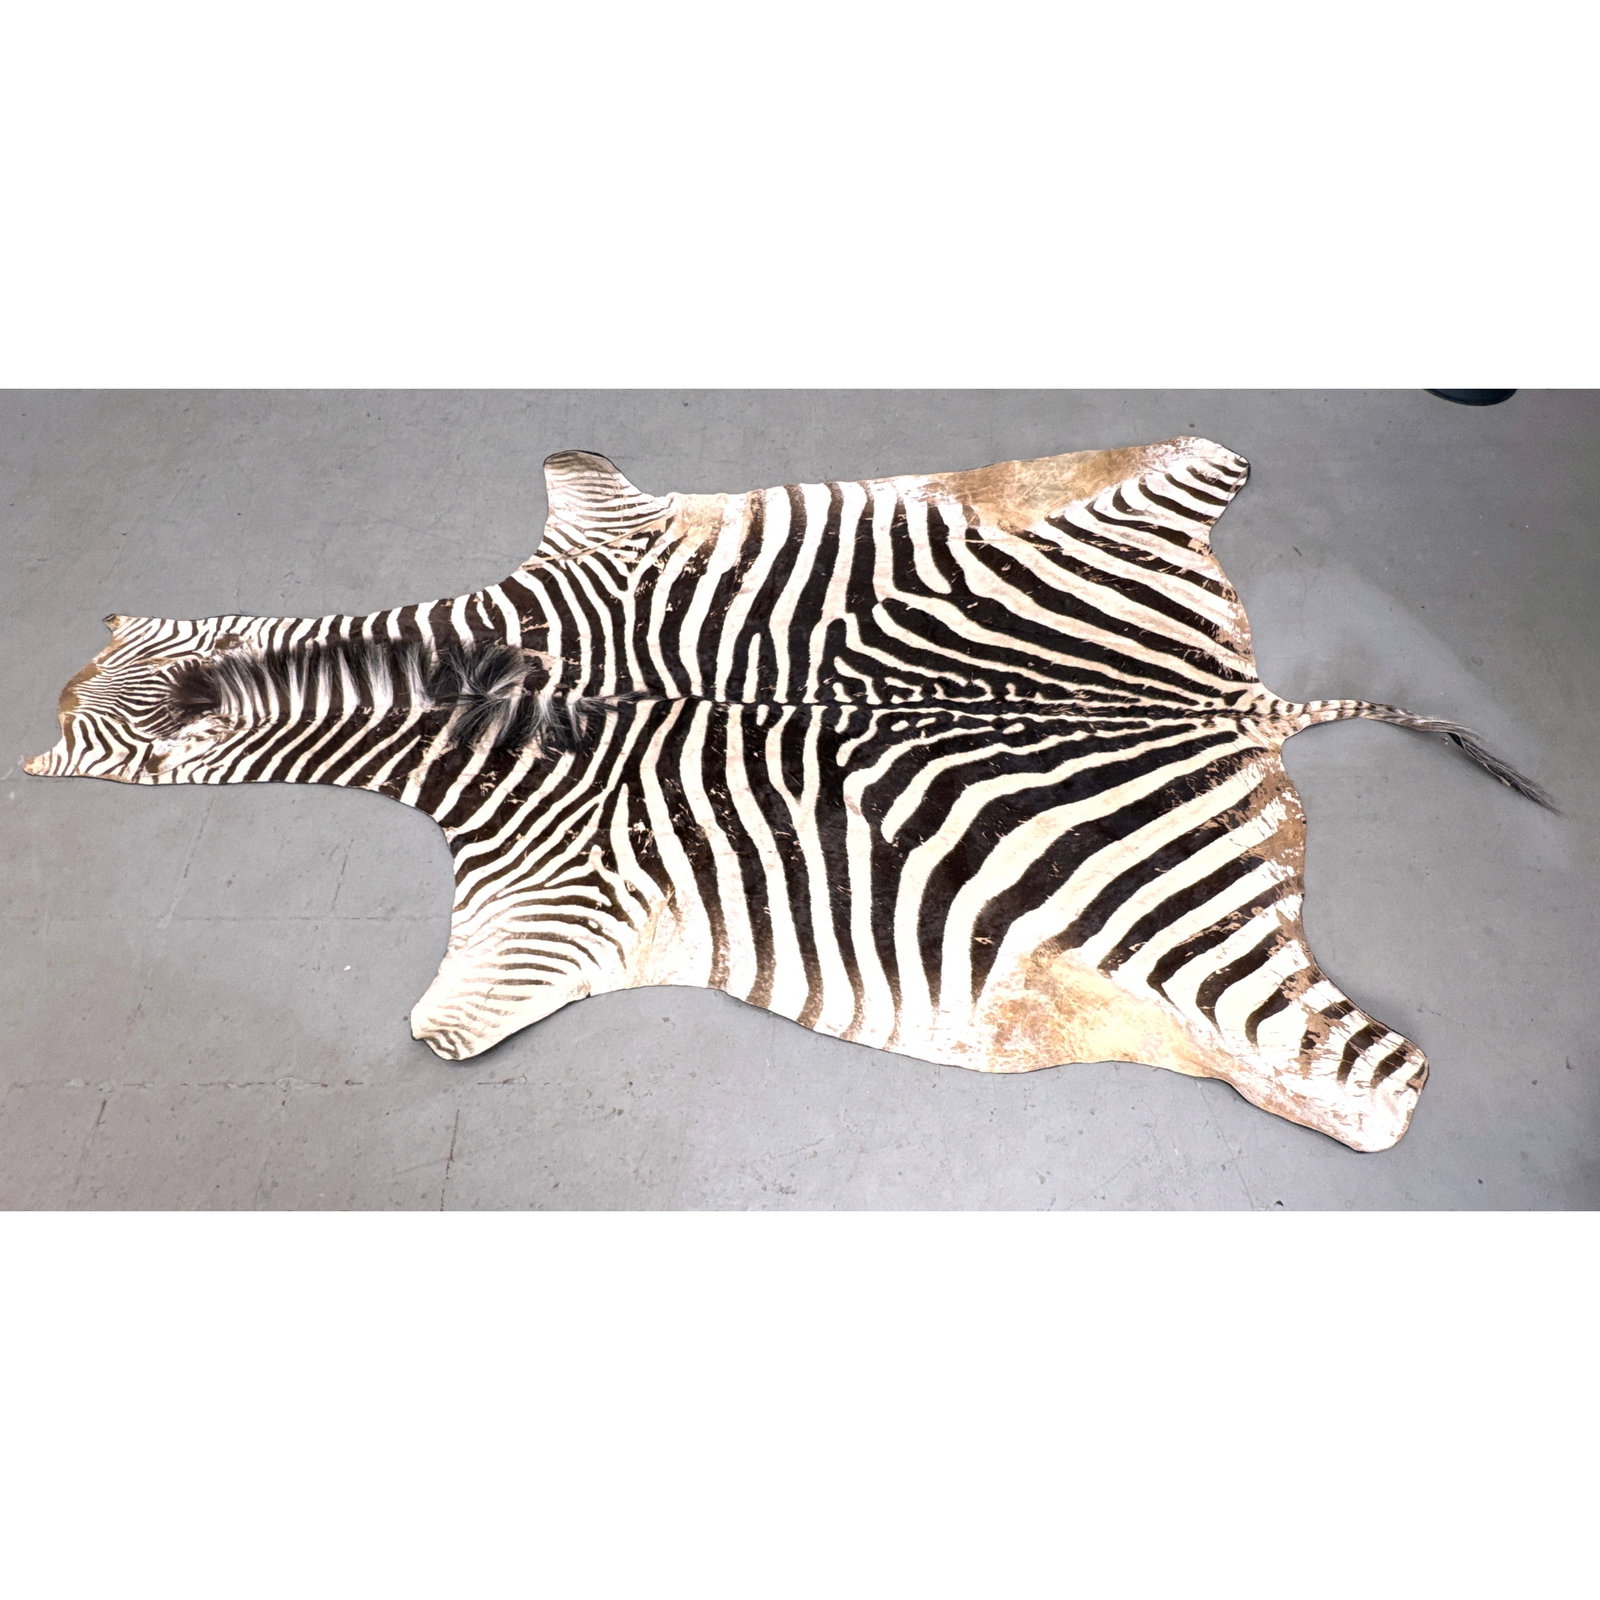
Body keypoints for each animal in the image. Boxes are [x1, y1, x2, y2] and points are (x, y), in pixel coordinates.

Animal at [26, 437, 1552, 1152]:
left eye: (90, 728)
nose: (48, 700)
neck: (484, 692)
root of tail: (1234, 700)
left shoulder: (541, 900)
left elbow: (450, 1022)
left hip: (1191, 955)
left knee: (1370, 1073)